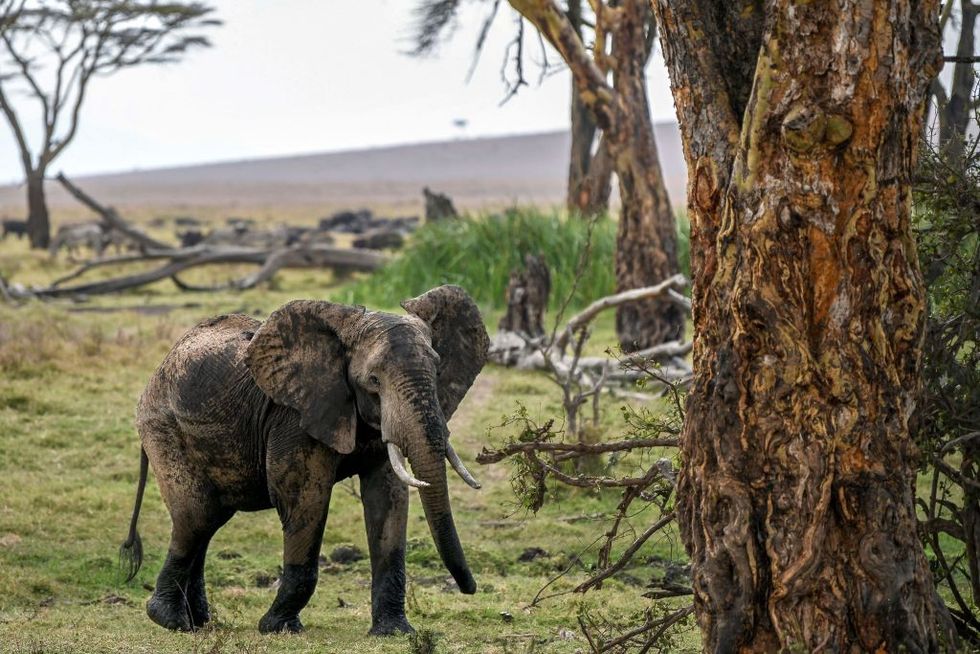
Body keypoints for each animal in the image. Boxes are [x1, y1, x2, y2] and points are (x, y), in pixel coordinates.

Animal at [119, 285, 490, 636]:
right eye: (373, 381)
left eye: (437, 371)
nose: (470, 589)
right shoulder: (294, 418)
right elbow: (304, 499)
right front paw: (278, 628)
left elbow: (388, 500)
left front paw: (394, 632)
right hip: (163, 427)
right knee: (198, 515)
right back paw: (170, 620)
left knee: (208, 522)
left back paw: (198, 623)